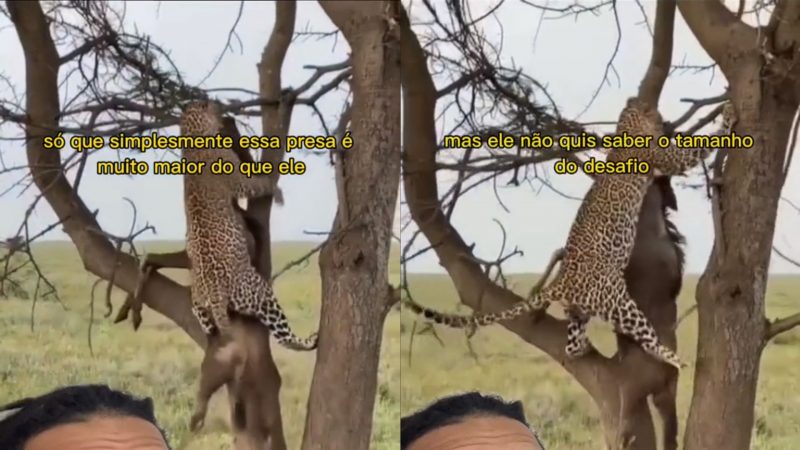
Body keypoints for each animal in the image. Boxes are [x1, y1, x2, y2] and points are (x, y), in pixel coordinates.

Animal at [180, 100, 318, 352]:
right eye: (213, 105)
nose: (221, 108)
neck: (191, 134)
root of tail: (214, 295)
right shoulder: (239, 179)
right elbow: (258, 183)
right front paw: (276, 190)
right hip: (261, 294)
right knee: (283, 336)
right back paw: (310, 341)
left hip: (198, 302)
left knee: (202, 317)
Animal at [404, 98, 737, 370]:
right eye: (656, 113)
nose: (664, 120)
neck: (626, 124)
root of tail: (563, 279)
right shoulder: (664, 157)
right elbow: (695, 150)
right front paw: (728, 116)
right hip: (619, 301)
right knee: (647, 338)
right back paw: (673, 358)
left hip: (581, 309)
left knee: (572, 343)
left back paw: (583, 349)